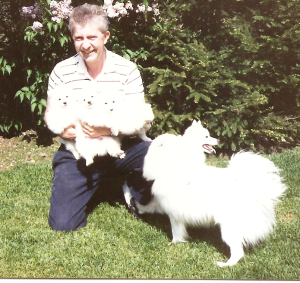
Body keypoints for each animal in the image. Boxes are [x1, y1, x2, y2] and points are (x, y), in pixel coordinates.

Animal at [123, 121, 288, 268]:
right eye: (207, 136)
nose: (219, 140)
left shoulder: (171, 210)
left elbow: (174, 230)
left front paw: (173, 243)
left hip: (229, 228)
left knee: (237, 251)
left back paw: (225, 265)